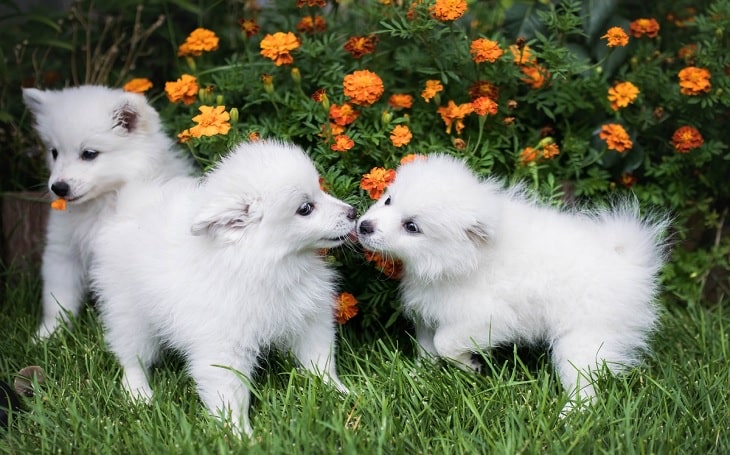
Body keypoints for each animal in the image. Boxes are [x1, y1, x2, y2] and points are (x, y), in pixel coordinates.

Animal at [22, 87, 193, 340]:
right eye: (54, 152)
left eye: (89, 154)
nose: (58, 188)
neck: (101, 204)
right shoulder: (64, 252)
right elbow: (58, 299)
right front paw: (48, 334)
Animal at [90, 141, 356, 436]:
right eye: (306, 208)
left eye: (320, 190)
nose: (353, 212)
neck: (267, 262)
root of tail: (131, 203)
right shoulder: (223, 345)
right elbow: (231, 394)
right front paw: (240, 435)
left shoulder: (309, 320)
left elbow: (320, 361)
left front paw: (340, 391)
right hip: (129, 312)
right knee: (132, 356)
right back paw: (139, 393)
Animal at [356, 155, 668, 412]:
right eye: (388, 201)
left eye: (412, 227)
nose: (363, 226)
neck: (460, 259)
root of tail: (629, 263)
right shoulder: (429, 310)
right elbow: (426, 346)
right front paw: (419, 376)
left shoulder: (489, 317)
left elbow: (443, 342)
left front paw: (468, 365)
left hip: (583, 339)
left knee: (585, 388)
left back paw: (568, 417)